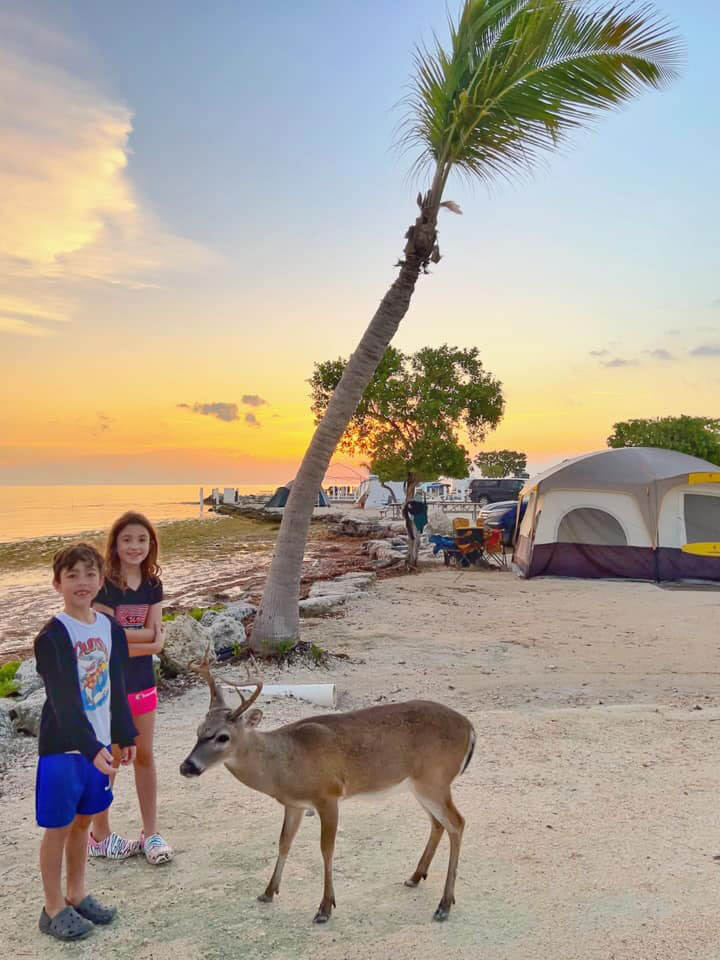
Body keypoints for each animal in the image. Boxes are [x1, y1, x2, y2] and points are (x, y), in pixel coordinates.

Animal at [178, 656, 476, 928]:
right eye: (198, 731)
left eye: (222, 737)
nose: (186, 766)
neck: (283, 764)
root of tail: (470, 728)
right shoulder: (294, 804)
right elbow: (284, 842)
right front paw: (268, 892)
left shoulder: (328, 795)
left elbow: (326, 849)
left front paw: (324, 908)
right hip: (419, 785)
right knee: (438, 823)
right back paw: (415, 877)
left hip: (435, 780)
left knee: (458, 823)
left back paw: (444, 905)